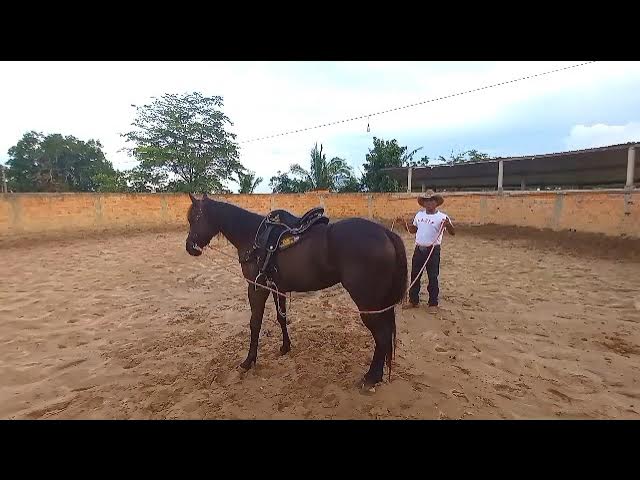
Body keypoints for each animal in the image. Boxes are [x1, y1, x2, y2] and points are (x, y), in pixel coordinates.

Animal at [185, 193, 408, 388]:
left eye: (195, 218)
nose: (190, 247)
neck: (253, 236)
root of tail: (386, 233)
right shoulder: (277, 287)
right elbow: (281, 317)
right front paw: (285, 347)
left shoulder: (257, 288)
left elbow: (255, 323)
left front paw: (248, 361)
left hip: (368, 304)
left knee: (382, 336)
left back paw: (371, 377)